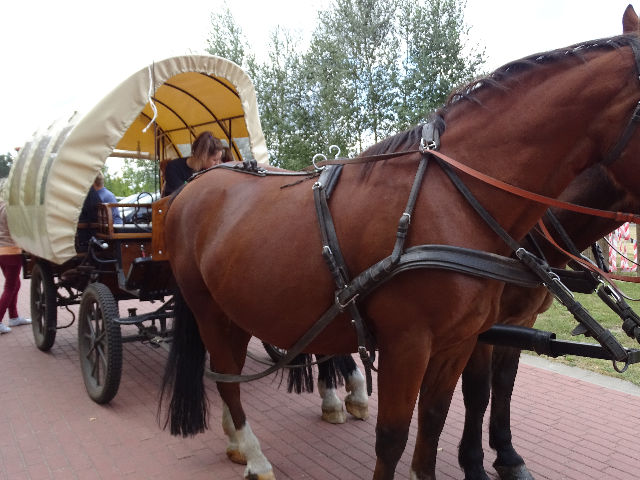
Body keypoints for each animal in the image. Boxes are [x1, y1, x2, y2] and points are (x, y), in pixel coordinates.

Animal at [160, 6, 640, 479]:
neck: (452, 199)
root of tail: (198, 184)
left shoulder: (460, 341)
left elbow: (436, 421)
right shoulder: (408, 345)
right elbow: (395, 435)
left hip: (239, 308)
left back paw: (239, 441)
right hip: (208, 309)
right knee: (227, 375)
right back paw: (255, 455)